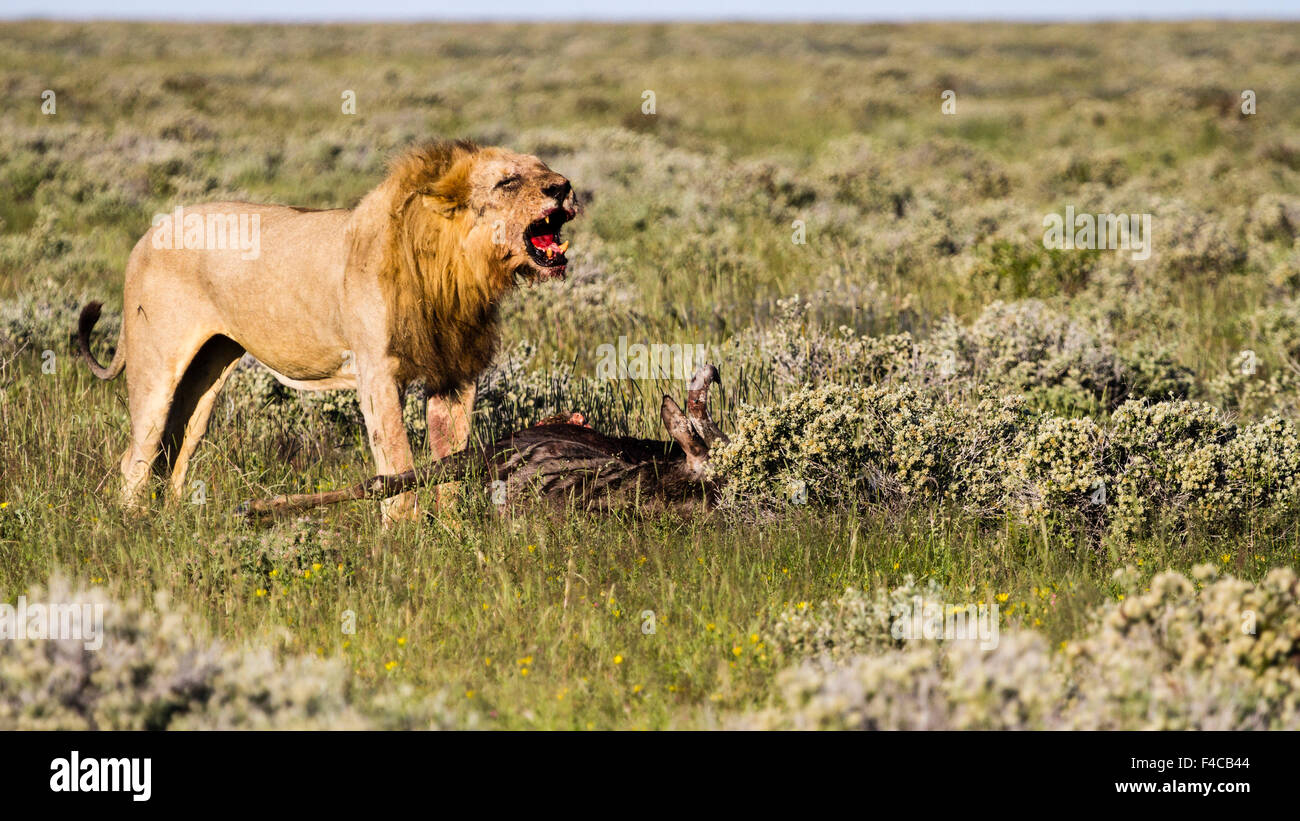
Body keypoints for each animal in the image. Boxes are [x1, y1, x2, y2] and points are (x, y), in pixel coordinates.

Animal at [78, 139, 577, 522]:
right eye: (507, 181)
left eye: (543, 168)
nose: (564, 187)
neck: (456, 270)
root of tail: (149, 232)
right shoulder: (377, 374)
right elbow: (396, 460)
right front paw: (403, 539)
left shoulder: (455, 376)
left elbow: (451, 462)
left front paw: (453, 535)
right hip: (157, 366)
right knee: (137, 457)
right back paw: (134, 527)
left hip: (208, 370)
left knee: (177, 450)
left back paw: (176, 524)